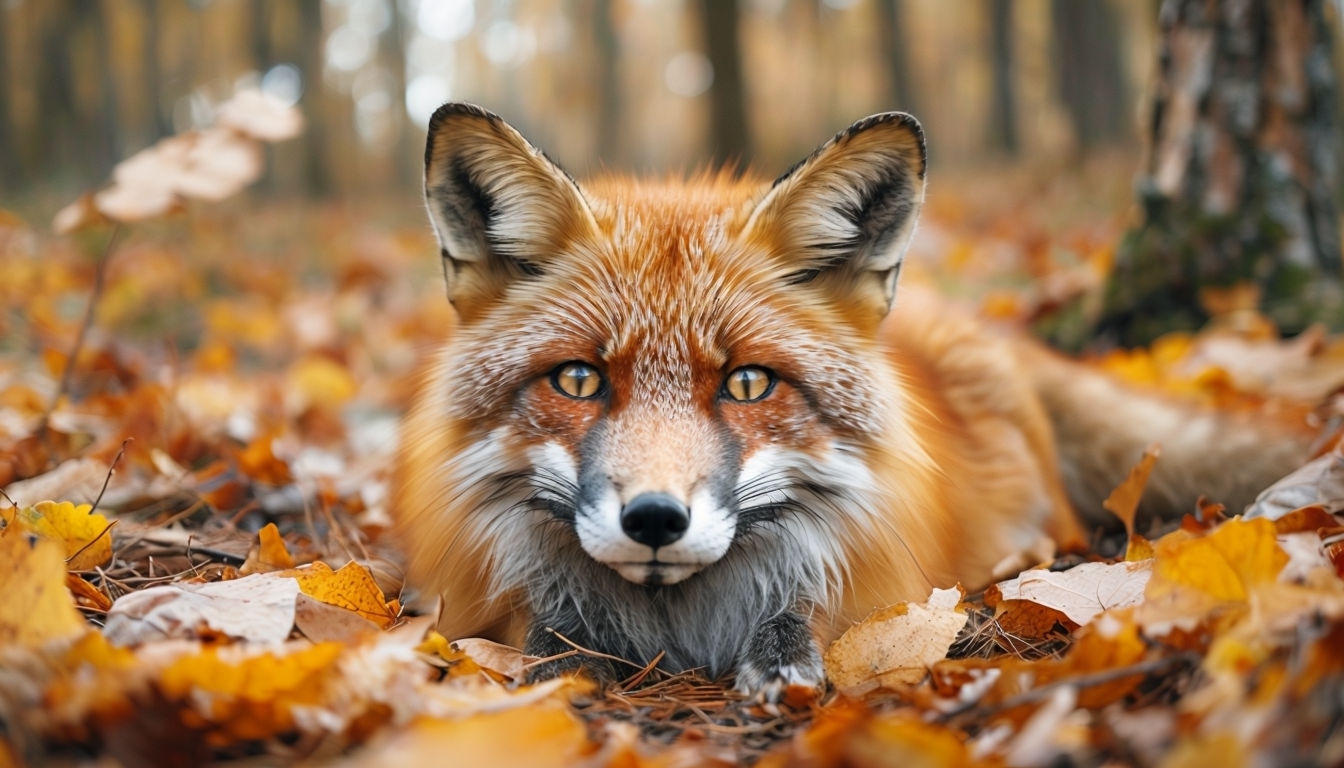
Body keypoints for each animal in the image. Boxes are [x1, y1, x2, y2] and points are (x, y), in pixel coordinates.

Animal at [392, 102, 1311, 699]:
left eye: (747, 383)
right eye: (579, 379)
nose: (654, 520)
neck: (675, 626)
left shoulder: (870, 569)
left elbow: (813, 616)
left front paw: (783, 662)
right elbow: (542, 638)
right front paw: (561, 670)